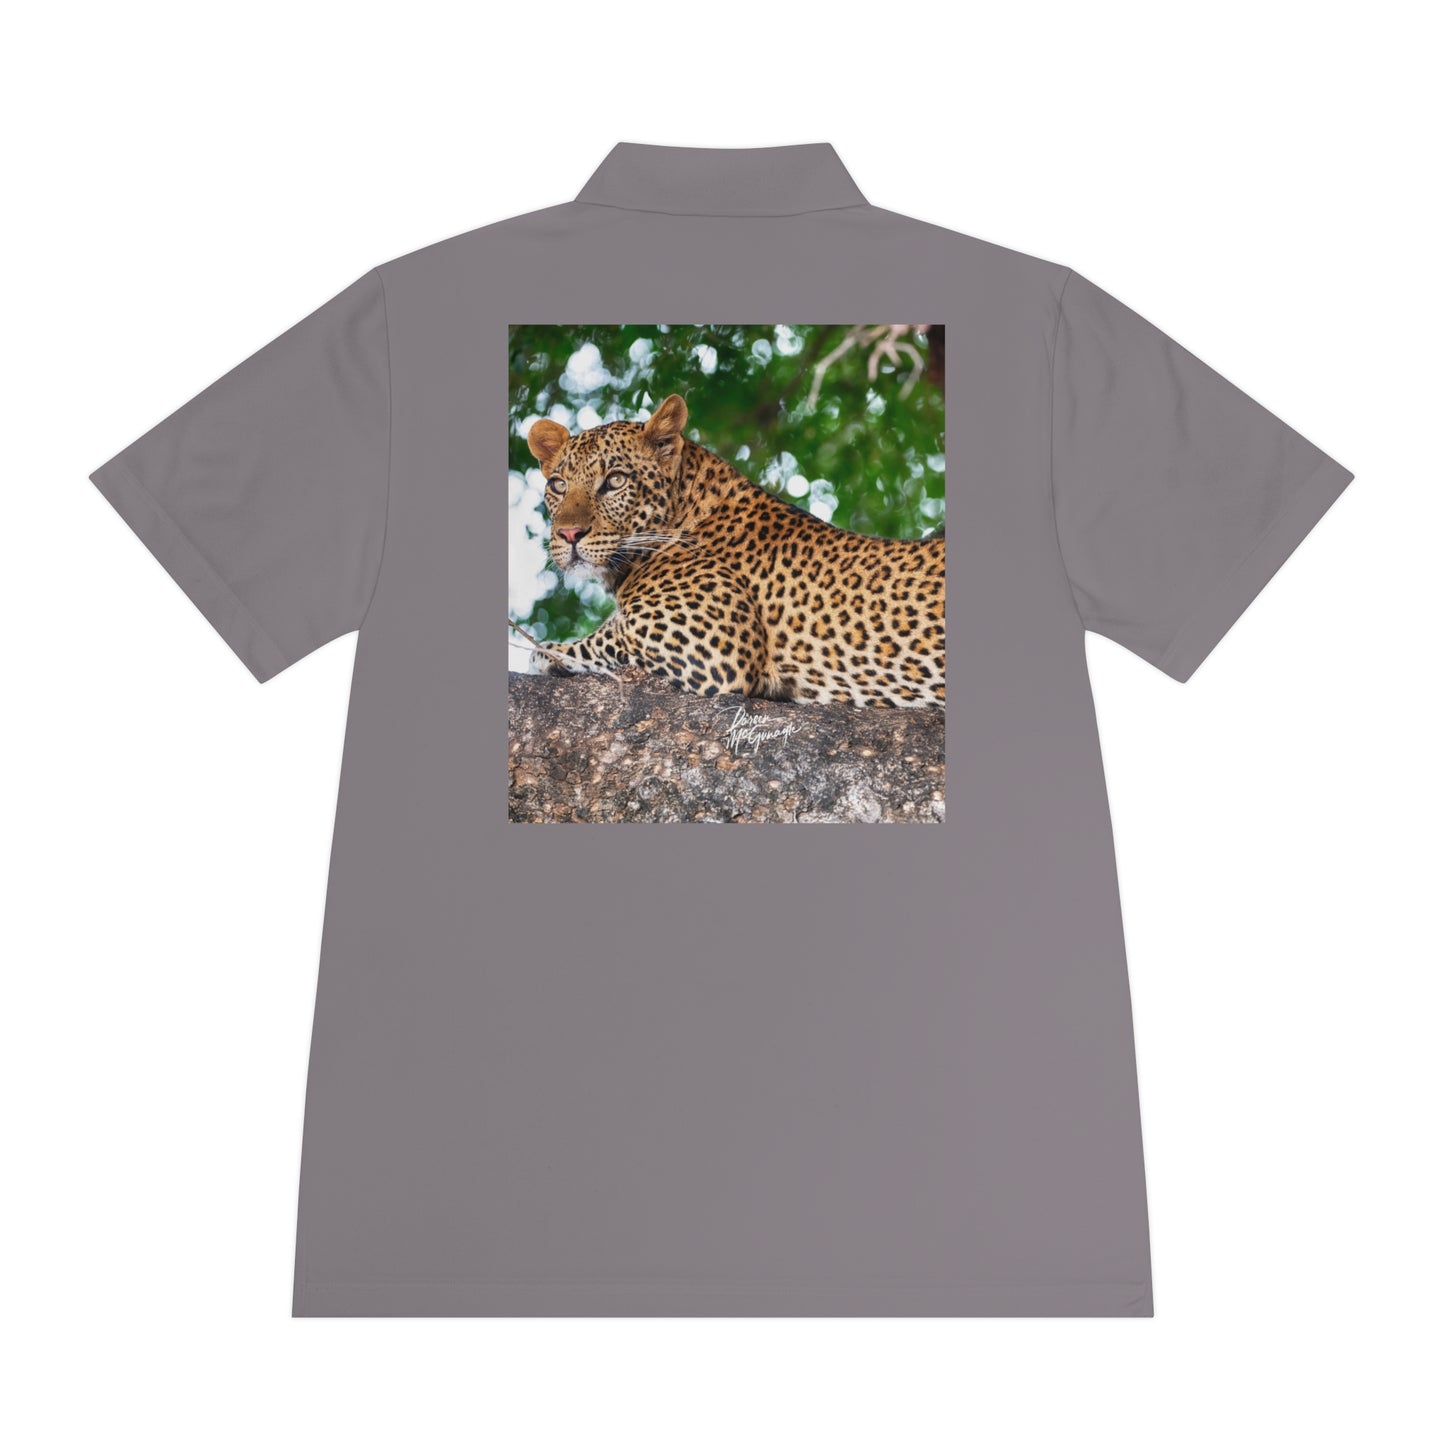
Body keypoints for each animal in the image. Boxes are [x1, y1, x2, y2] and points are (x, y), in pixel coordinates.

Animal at [524, 393, 944, 707]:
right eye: (559, 485)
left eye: (614, 480)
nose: (569, 534)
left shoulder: (707, 645)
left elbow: (604, 639)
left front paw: (547, 651)